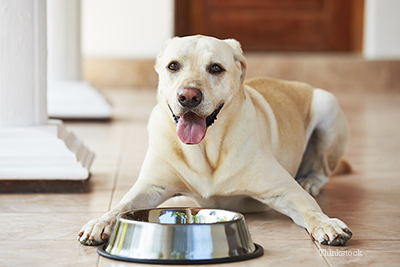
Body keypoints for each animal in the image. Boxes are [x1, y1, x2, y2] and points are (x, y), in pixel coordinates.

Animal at [79, 35, 354, 247]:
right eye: (173, 66)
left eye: (215, 68)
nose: (188, 96)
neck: (206, 149)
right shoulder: (150, 186)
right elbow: (122, 205)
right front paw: (101, 222)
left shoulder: (284, 189)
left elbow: (310, 209)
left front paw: (327, 223)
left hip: (327, 105)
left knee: (322, 170)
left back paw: (310, 181)